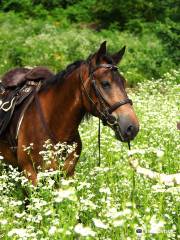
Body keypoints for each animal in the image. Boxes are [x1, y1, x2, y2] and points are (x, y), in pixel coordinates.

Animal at [0, 41, 139, 184]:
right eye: (105, 83)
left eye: (123, 82)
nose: (132, 127)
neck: (54, 123)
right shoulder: (31, 175)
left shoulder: (68, 175)